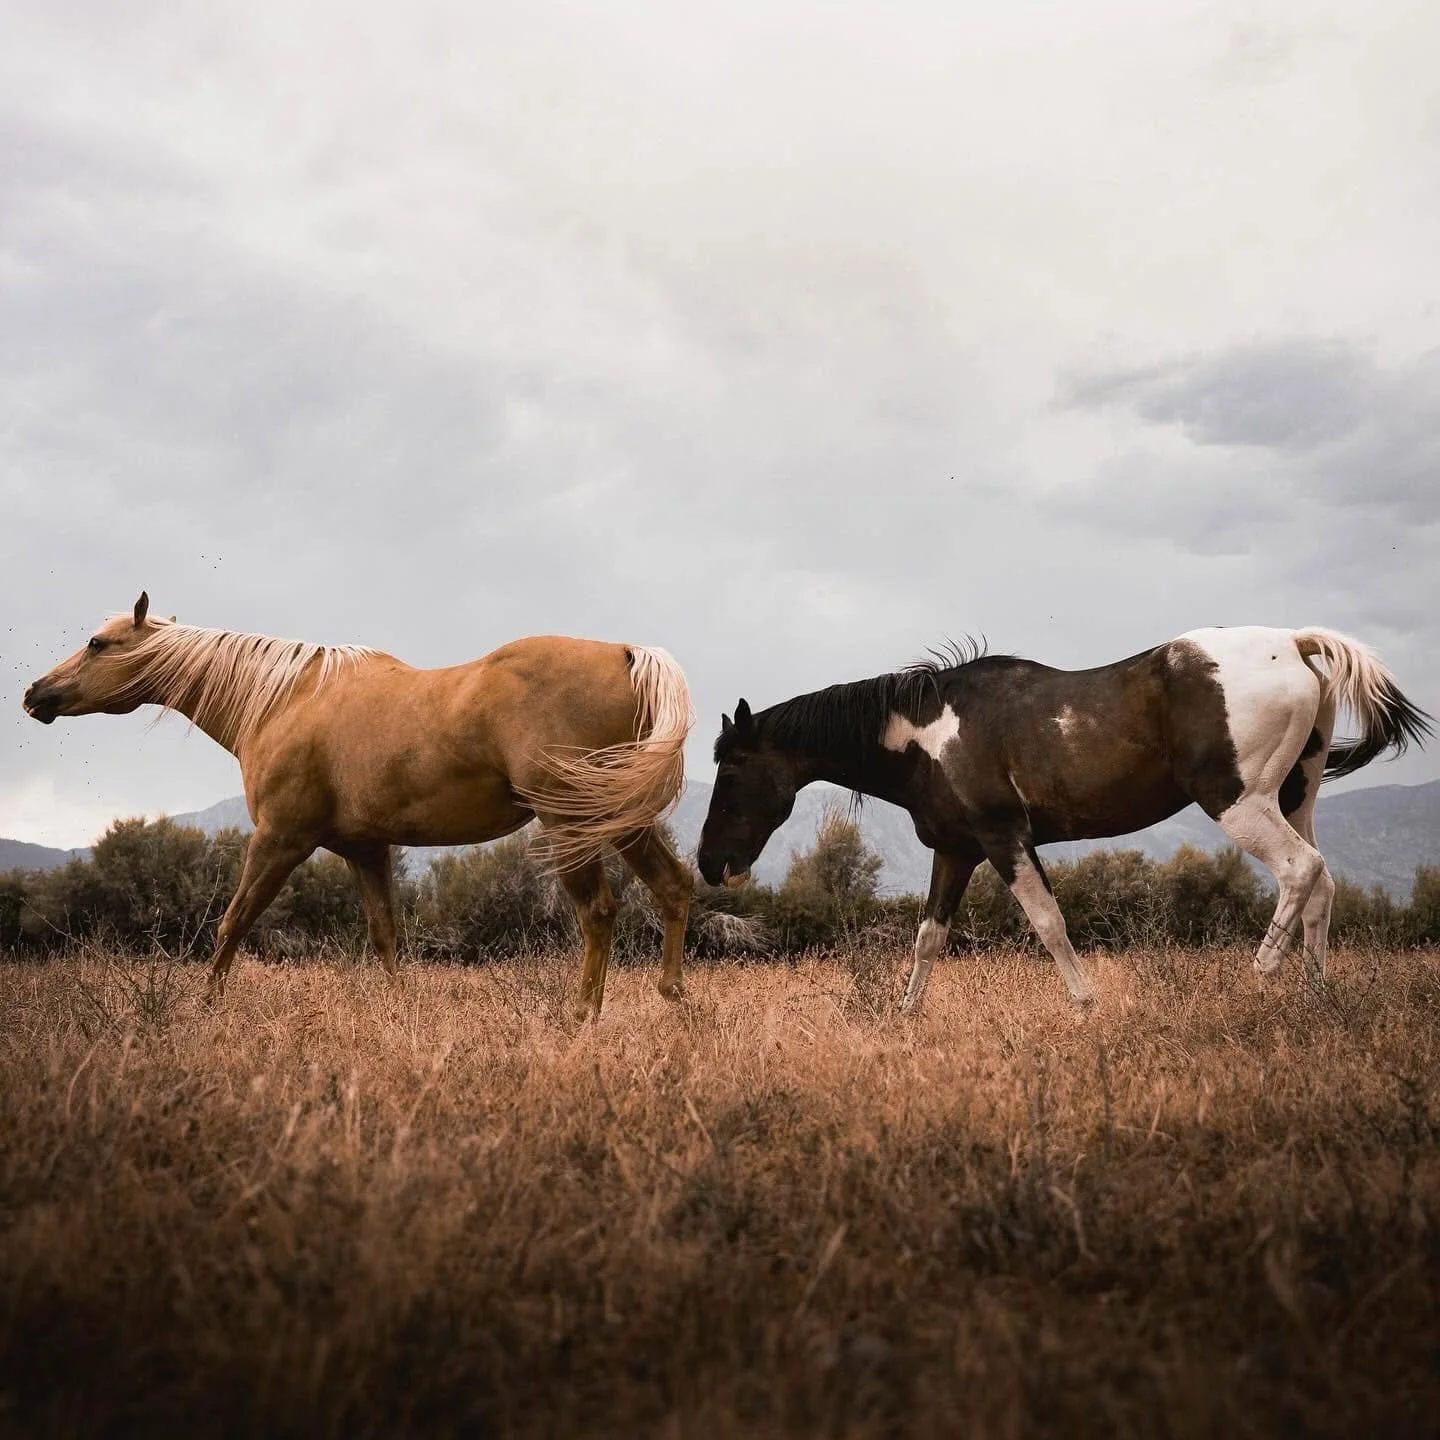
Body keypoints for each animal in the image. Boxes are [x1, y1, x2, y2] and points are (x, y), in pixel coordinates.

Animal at [24, 593, 695, 1015]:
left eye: (97, 643)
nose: (36, 694)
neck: (285, 700)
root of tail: (625, 653)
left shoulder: (280, 840)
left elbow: (233, 921)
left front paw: (203, 1007)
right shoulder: (366, 850)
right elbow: (385, 938)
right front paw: (399, 1013)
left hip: (571, 821)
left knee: (599, 913)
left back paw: (581, 1015)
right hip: (621, 821)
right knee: (673, 887)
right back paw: (672, 998)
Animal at [696, 627, 1431, 1011]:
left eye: (730, 773)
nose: (709, 862)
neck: (925, 734)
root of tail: (1297, 642)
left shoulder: (1005, 840)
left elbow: (1049, 924)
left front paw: (1086, 1007)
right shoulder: (954, 852)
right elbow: (929, 938)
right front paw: (904, 1018)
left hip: (1240, 803)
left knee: (1299, 872)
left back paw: (1260, 976)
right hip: (1294, 800)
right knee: (1323, 884)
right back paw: (1316, 996)